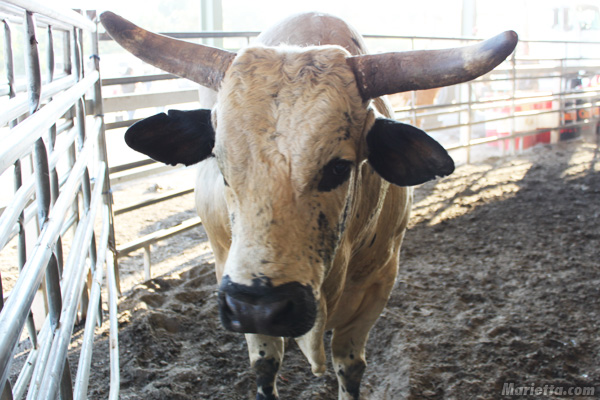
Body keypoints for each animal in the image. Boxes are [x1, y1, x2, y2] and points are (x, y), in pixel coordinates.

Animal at [102, 12, 516, 400]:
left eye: (339, 167)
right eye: (220, 162)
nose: (259, 308)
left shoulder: (379, 283)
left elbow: (349, 366)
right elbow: (265, 363)